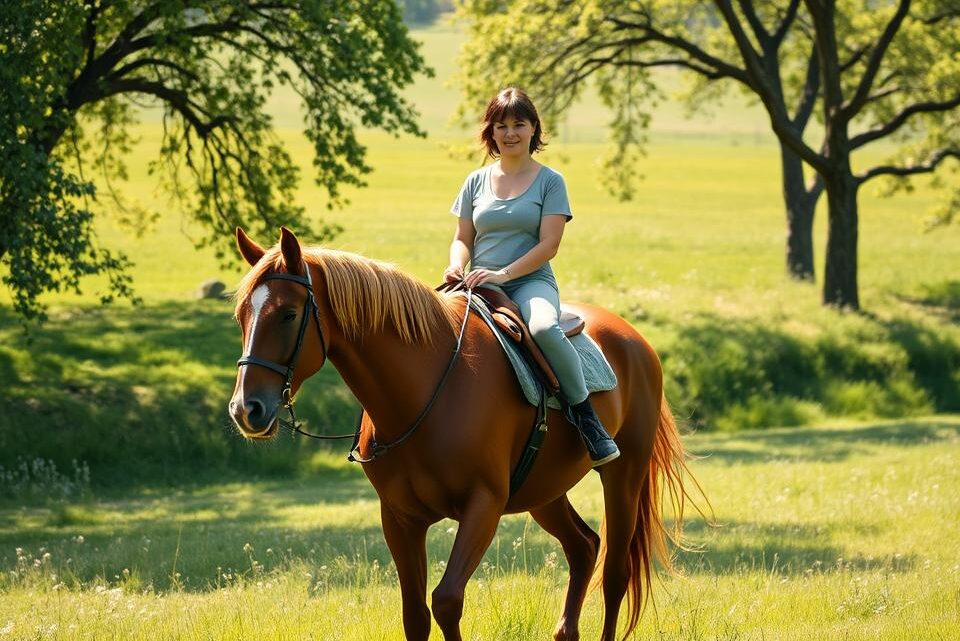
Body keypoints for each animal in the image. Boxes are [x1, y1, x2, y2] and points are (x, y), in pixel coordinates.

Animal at [228, 226, 703, 641]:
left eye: (289, 314)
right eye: (241, 316)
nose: (246, 409)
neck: (425, 390)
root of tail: (635, 341)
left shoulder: (483, 506)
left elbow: (446, 600)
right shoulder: (400, 518)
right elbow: (416, 615)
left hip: (624, 477)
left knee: (616, 573)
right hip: (544, 493)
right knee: (584, 547)